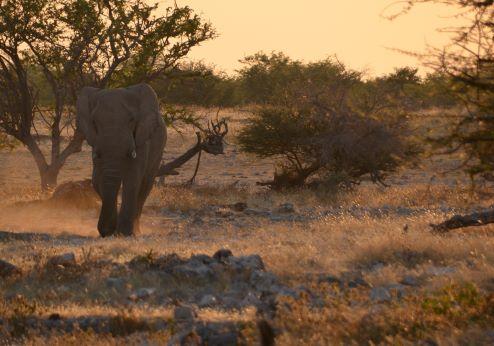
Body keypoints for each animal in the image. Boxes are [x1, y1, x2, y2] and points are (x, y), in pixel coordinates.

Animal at [77, 82, 166, 237]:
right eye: (94, 121)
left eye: (131, 120)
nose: (105, 232)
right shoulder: (96, 142)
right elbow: (98, 180)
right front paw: (110, 232)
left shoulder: (141, 139)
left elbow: (132, 180)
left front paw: (123, 233)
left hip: (159, 150)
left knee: (145, 185)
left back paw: (136, 231)